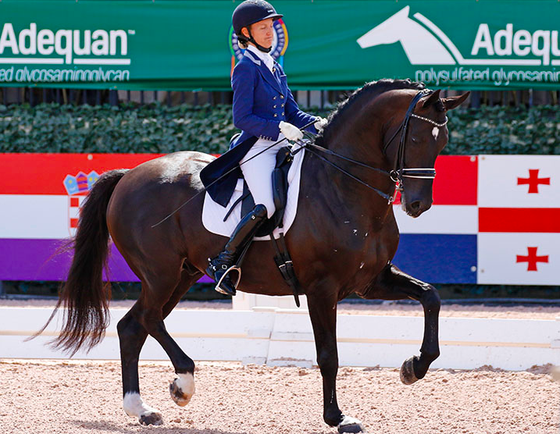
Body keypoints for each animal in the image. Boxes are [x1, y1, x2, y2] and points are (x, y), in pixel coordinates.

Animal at [42, 79, 468, 432]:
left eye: (442, 142)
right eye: (416, 138)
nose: (417, 205)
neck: (343, 185)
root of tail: (128, 175)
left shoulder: (370, 279)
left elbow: (431, 296)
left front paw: (413, 368)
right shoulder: (322, 288)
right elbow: (328, 355)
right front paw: (338, 418)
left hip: (180, 275)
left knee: (134, 326)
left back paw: (142, 409)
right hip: (160, 273)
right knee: (147, 319)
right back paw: (183, 383)